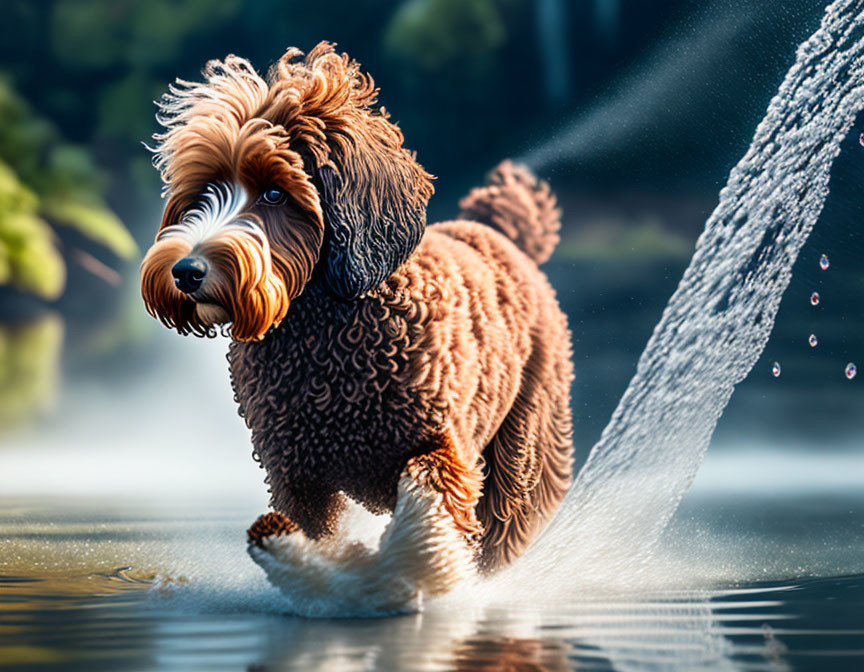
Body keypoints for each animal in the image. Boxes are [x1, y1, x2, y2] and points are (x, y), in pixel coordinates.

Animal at [142, 40, 572, 600]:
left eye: (276, 192)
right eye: (203, 190)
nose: (185, 271)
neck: (321, 333)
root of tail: (497, 233)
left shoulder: (442, 447)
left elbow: (430, 498)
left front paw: (418, 569)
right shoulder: (297, 475)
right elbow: (312, 533)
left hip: (524, 445)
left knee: (504, 525)